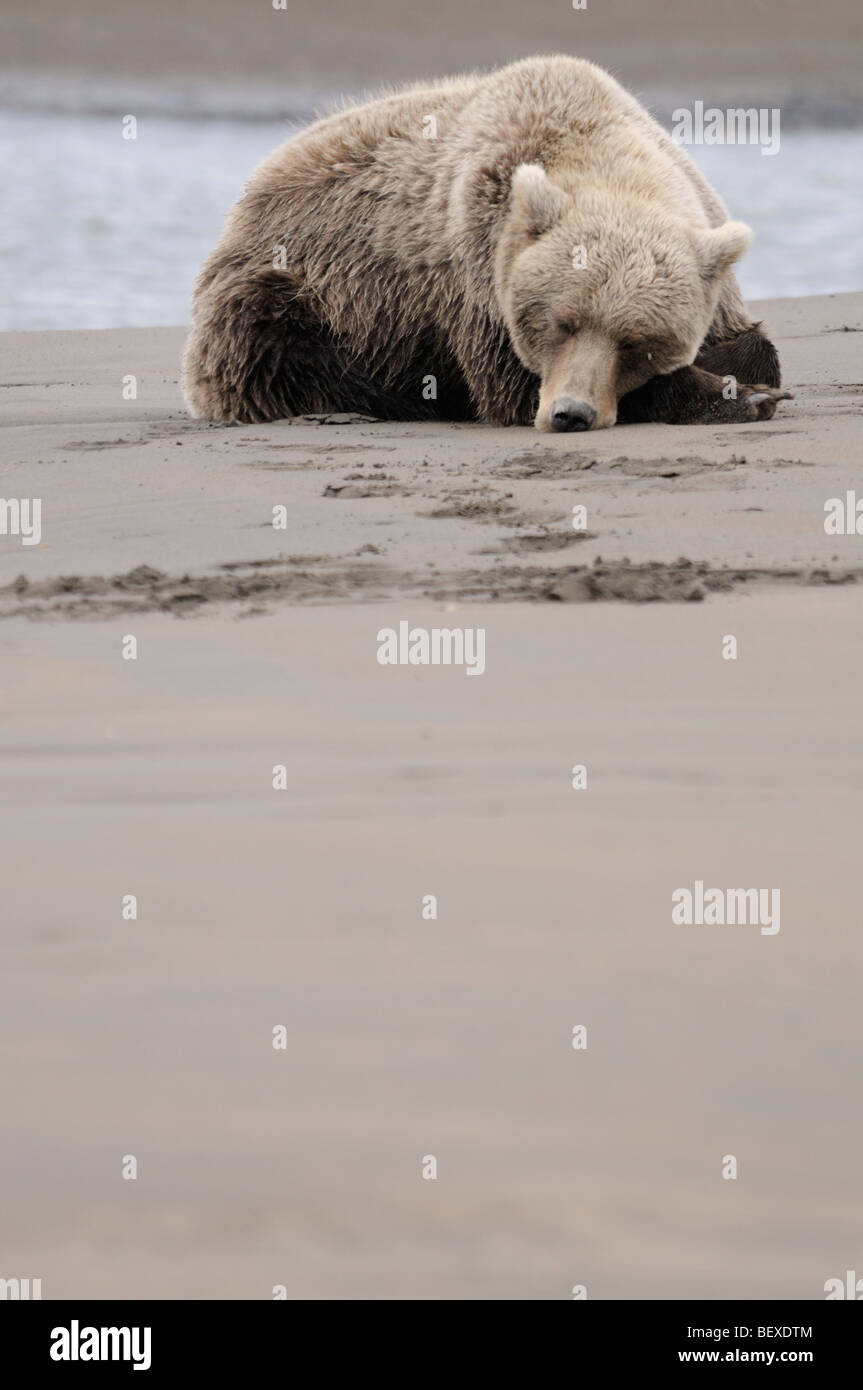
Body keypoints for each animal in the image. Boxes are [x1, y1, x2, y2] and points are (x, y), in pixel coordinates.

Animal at [183, 55, 791, 431]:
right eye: (561, 322)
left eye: (637, 341)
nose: (571, 414)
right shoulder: (477, 267)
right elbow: (511, 381)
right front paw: (739, 396)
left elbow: (749, 340)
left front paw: (746, 382)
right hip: (304, 287)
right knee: (275, 339)